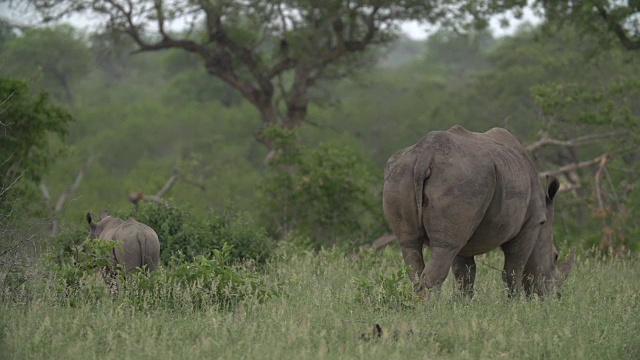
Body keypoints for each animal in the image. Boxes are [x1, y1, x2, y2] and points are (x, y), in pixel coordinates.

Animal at [380, 125, 576, 296]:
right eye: (556, 256)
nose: (557, 296)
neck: (544, 222)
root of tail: (424, 155)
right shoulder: (530, 224)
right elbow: (514, 271)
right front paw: (515, 305)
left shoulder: (465, 229)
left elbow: (465, 273)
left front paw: (462, 305)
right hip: (460, 180)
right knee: (444, 248)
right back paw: (431, 309)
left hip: (400, 175)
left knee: (410, 244)